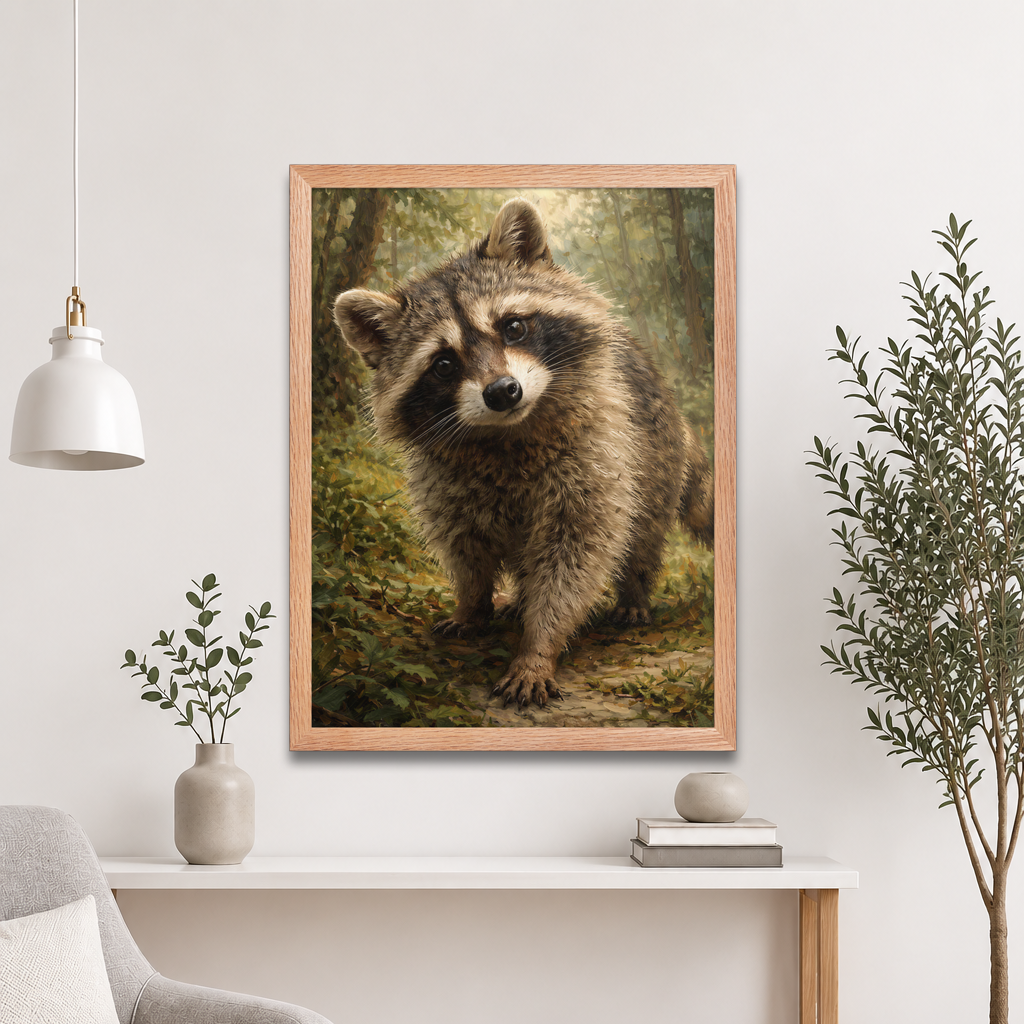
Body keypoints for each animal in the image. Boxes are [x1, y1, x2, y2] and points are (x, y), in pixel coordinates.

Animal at [333, 198, 713, 708]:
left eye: (513, 327)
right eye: (443, 364)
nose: (502, 392)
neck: (507, 435)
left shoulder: (598, 454)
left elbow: (575, 557)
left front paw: (538, 647)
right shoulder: (443, 481)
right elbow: (464, 548)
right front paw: (473, 605)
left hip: (655, 456)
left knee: (643, 532)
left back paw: (633, 592)